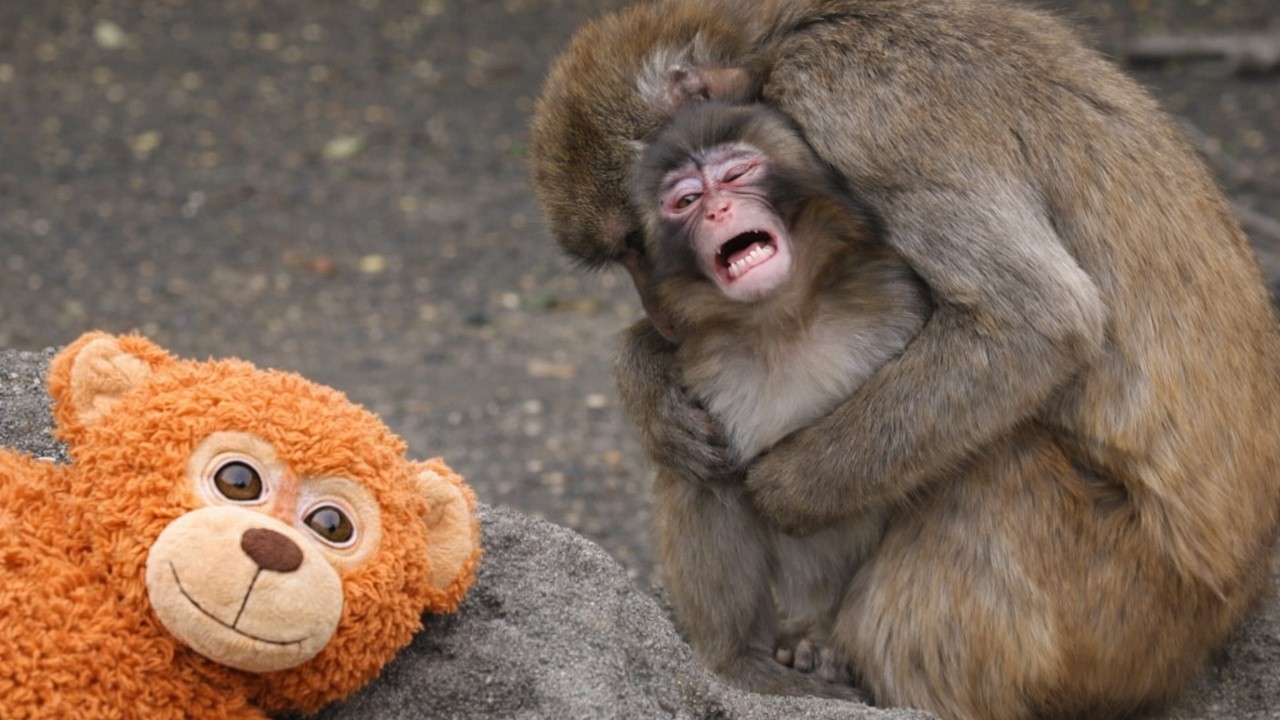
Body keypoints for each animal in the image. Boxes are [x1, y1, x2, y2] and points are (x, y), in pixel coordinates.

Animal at [625, 99, 930, 697]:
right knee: (700, 477)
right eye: (686, 201)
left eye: (736, 174)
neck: (784, 316)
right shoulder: (700, 361)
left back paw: (823, 649)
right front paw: (659, 411)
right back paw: (740, 656)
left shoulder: (897, 300)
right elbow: (695, 453)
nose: (718, 210)